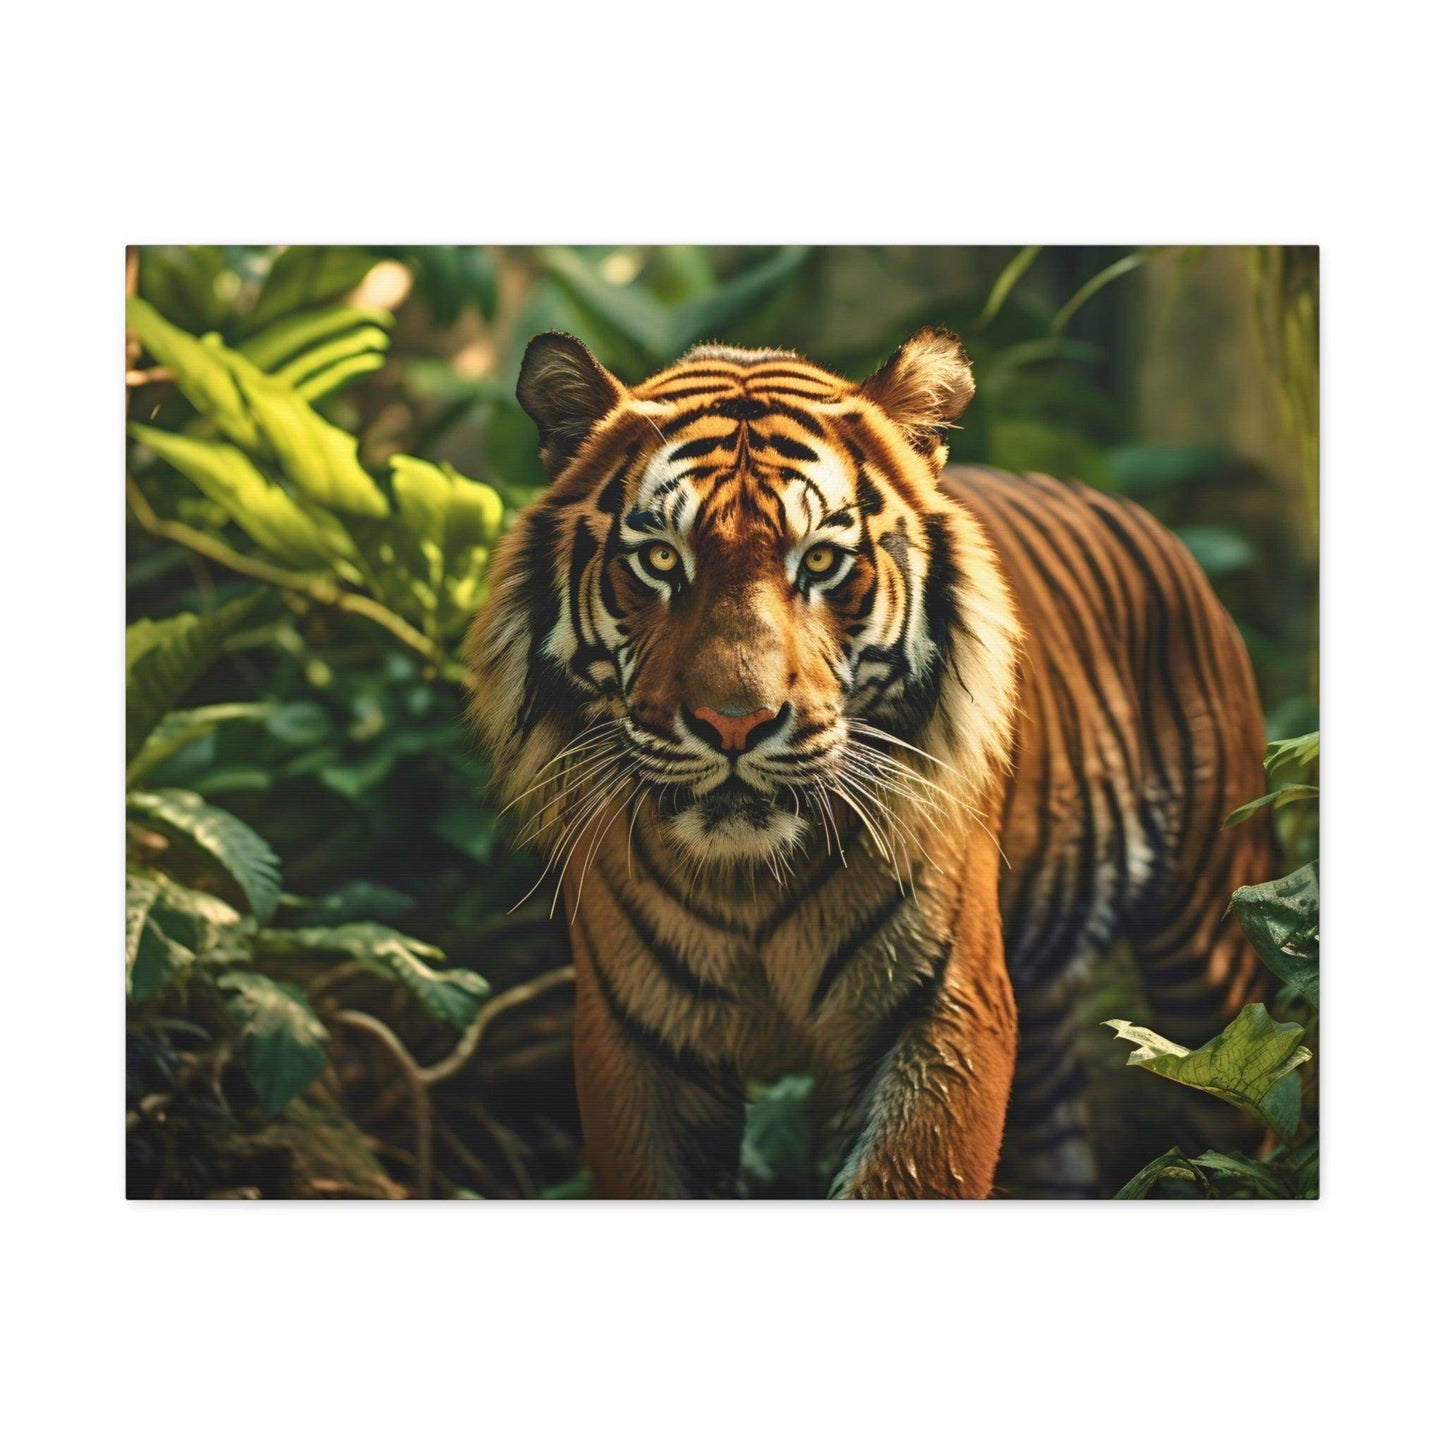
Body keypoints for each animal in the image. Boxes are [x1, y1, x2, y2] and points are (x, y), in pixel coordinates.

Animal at [464, 326, 1273, 1199]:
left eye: (820, 562)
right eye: (659, 560)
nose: (733, 723)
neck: (749, 884)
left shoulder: (942, 1009)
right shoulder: (637, 1038)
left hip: (1211, 945)